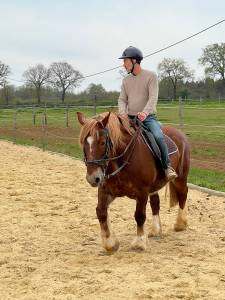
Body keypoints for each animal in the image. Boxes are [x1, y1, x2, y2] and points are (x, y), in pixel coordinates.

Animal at [77, 111, 190, 252]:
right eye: (84, 143)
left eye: (102, 142)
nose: (93, 178)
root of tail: (180, 134)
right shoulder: (106, 190)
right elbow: (101, 212)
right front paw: (110, 243)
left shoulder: (142, 192)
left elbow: (139, 215)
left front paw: (139, 242)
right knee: (155, 203)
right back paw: (156, 230)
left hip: (180, 177)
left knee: (183, 194)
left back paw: (180, 224)